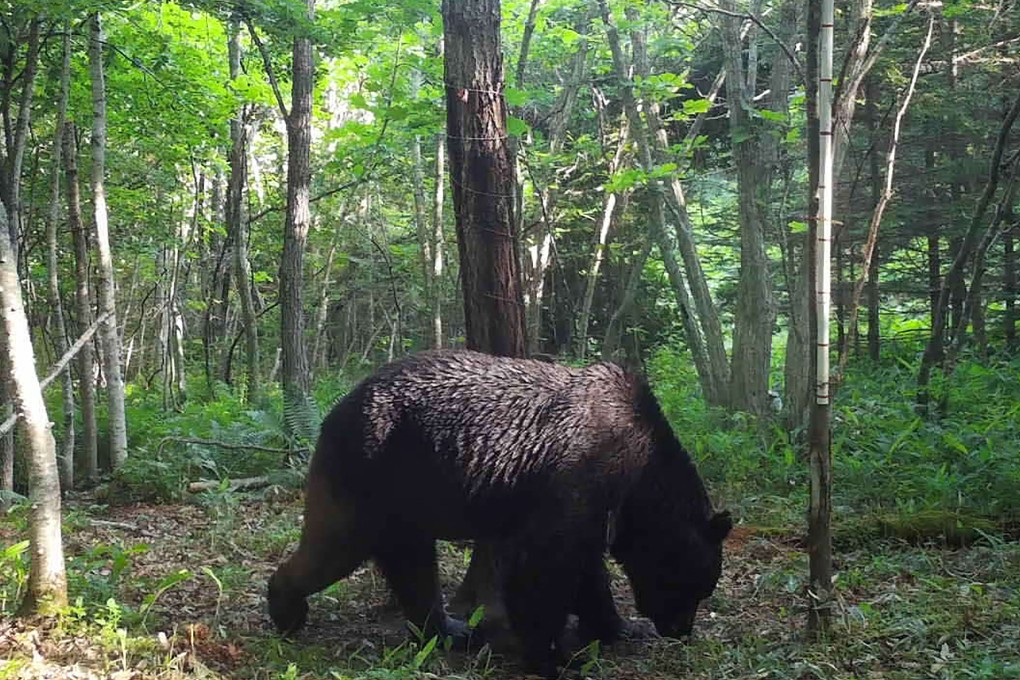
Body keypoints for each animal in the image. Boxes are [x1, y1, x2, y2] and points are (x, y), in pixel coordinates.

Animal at [268, 349, 731, 676]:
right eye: (694, 587)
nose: (680, 630)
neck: (637, 475)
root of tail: (337, 407)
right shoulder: (578, 477)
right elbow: (543, 566)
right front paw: (553, 658)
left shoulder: (593, 509)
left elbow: (586, 570)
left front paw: (617, 627)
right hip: (372, 470)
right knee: (335, 545)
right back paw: (285, 608)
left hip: (406, 498)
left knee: (412, 565)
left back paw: (450, 629)